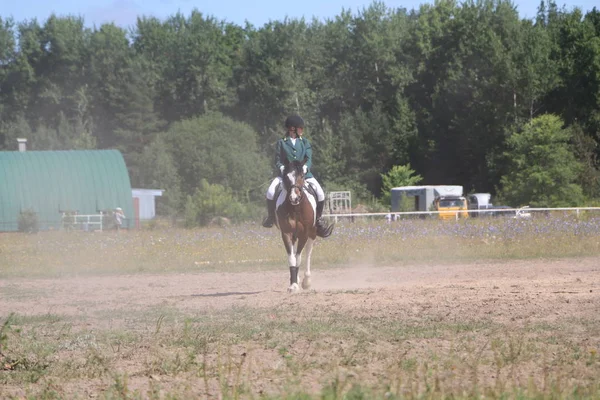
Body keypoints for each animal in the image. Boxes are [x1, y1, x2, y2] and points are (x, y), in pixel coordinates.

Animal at [276, 158, 318, 292]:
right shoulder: (286, 233)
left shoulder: (304, 234)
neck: (295, 208)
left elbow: (299, 257)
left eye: (302, 176)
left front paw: (297, 284)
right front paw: (293, 284)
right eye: (287, 176)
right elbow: (292, 258)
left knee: (308, 252)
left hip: (312, 232)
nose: (294, 198)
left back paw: (306, 281)